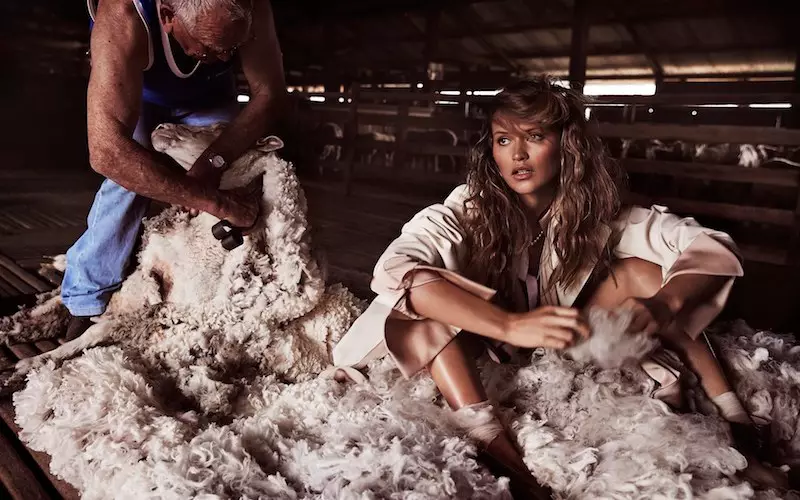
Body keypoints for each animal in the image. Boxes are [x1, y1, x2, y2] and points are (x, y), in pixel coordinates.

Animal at [1, 123, 800, 498]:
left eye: (216, 134)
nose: (162, 130)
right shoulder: (163, 298)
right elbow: (106, 323)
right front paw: (34, 341)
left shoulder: (230, 300)